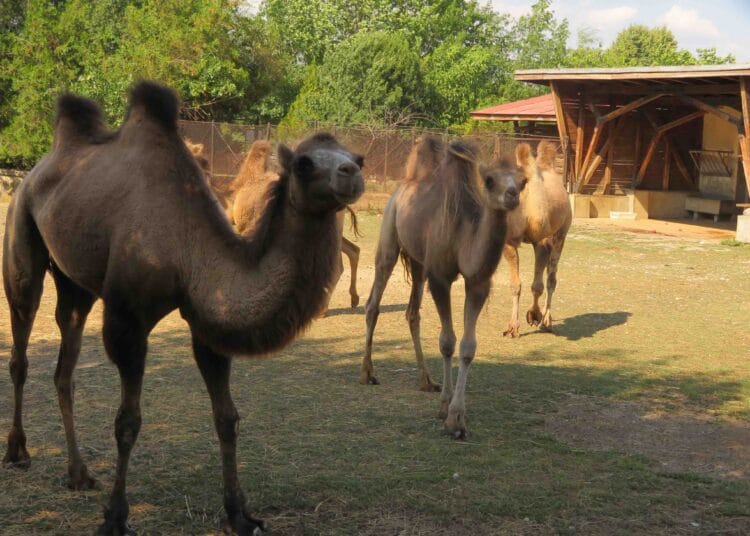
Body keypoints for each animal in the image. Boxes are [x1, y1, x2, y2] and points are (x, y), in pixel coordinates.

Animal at [2, 81, 363, 535]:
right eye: (304, 163)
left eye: (358, 157)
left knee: (65, 362)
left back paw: (79, 473)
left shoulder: (207, 320)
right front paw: (115, 517)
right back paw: (18, 452)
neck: (185, 246)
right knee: (21, 344)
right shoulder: (126, 321)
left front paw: (239, 514)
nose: (351, 173)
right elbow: (128, 422)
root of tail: (39, 167)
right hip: (22, 238)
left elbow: (226, 417)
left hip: (75, 281)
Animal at [359, 136, 525, 439]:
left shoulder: (477, 283)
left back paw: (426, 380)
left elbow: (468, 346)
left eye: (523, 181)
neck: (463, 235)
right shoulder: (439, 278)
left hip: (417, 263)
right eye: (489, 180)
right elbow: (447, 341)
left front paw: (457, 417)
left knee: (412, 312)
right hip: (389, 236)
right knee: (373, 303)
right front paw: (446, 410)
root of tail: (403, 186)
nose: (512, 195)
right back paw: (367, 373)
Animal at [501, 141, 572, 338]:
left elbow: (538, 285)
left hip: (562, 233)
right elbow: (515, 284)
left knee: (551, 278)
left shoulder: (542, 241)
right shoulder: (509, 242)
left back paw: (547, 321)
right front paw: (512, 327)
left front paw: (534, 316)